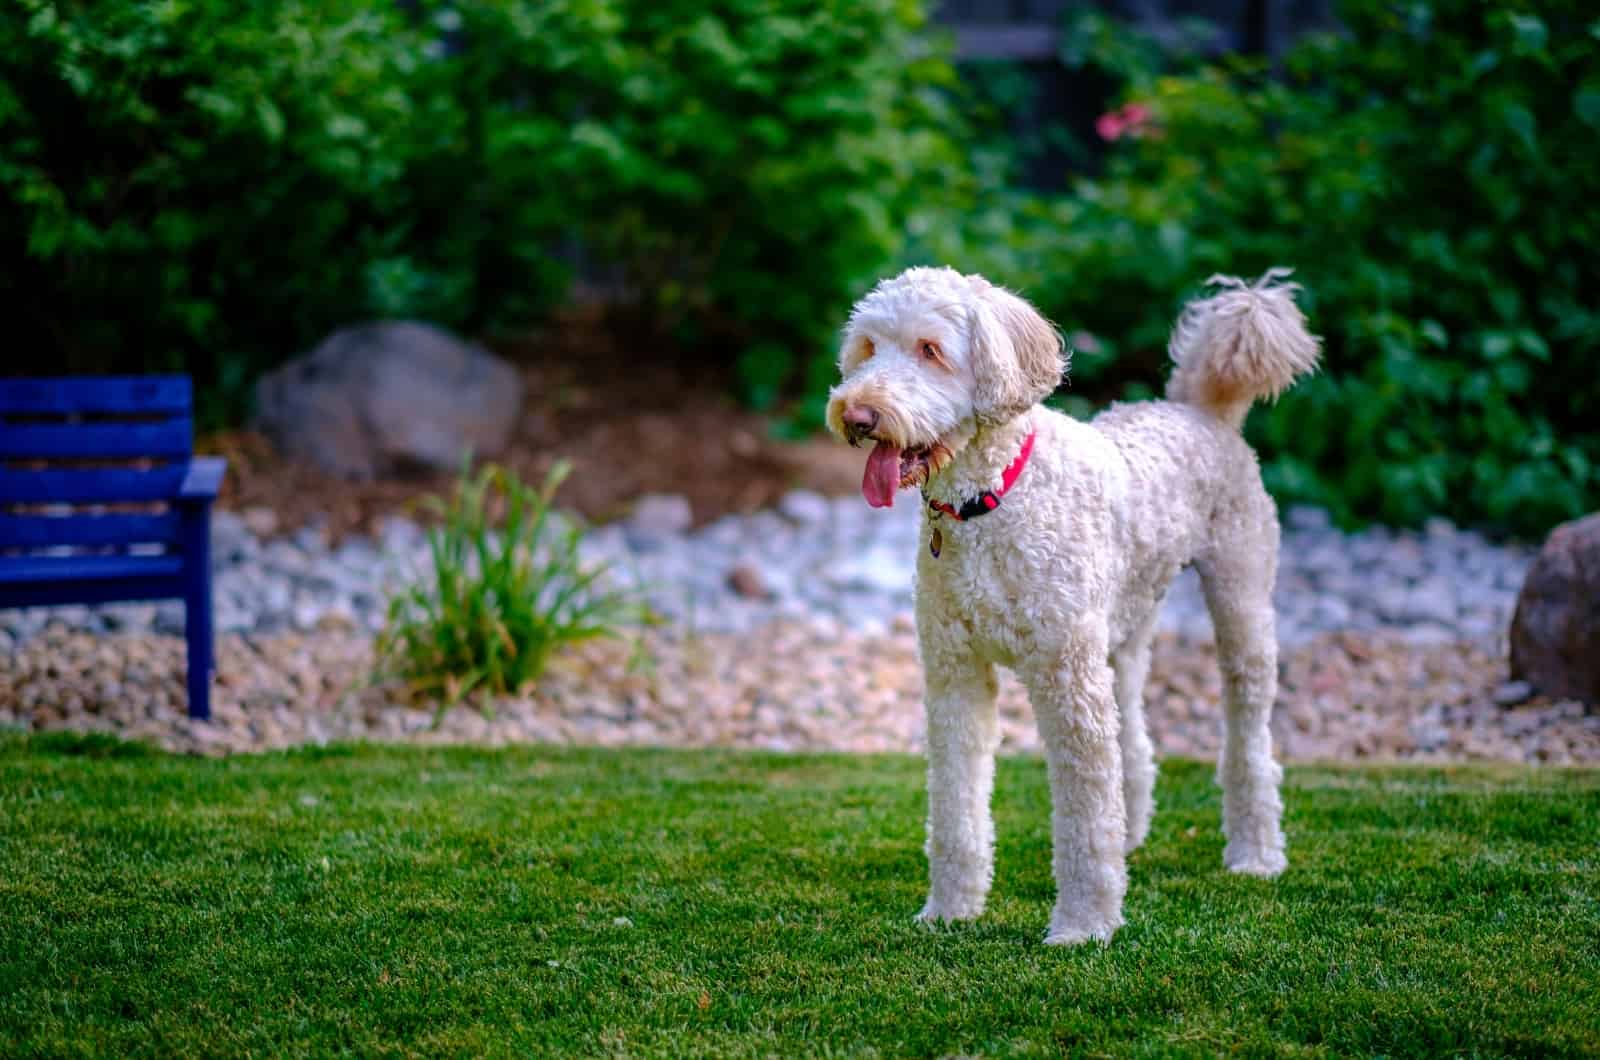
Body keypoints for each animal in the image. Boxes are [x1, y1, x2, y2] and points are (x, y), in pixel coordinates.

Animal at [832, 265, 1318, 947]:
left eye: (931, 350)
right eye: (868, 348)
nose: (857, 414)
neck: (994, 498)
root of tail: (1200, 410)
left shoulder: (1067, 681)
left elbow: (1084, 816)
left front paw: (1085, 924)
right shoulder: (955, 674)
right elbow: (955, 805)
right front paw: (950, 910)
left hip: (1241, 600)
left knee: (1249, 738)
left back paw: (1255, 854)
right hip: (1120, 633)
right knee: (1132, 739)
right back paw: (1131, 837)